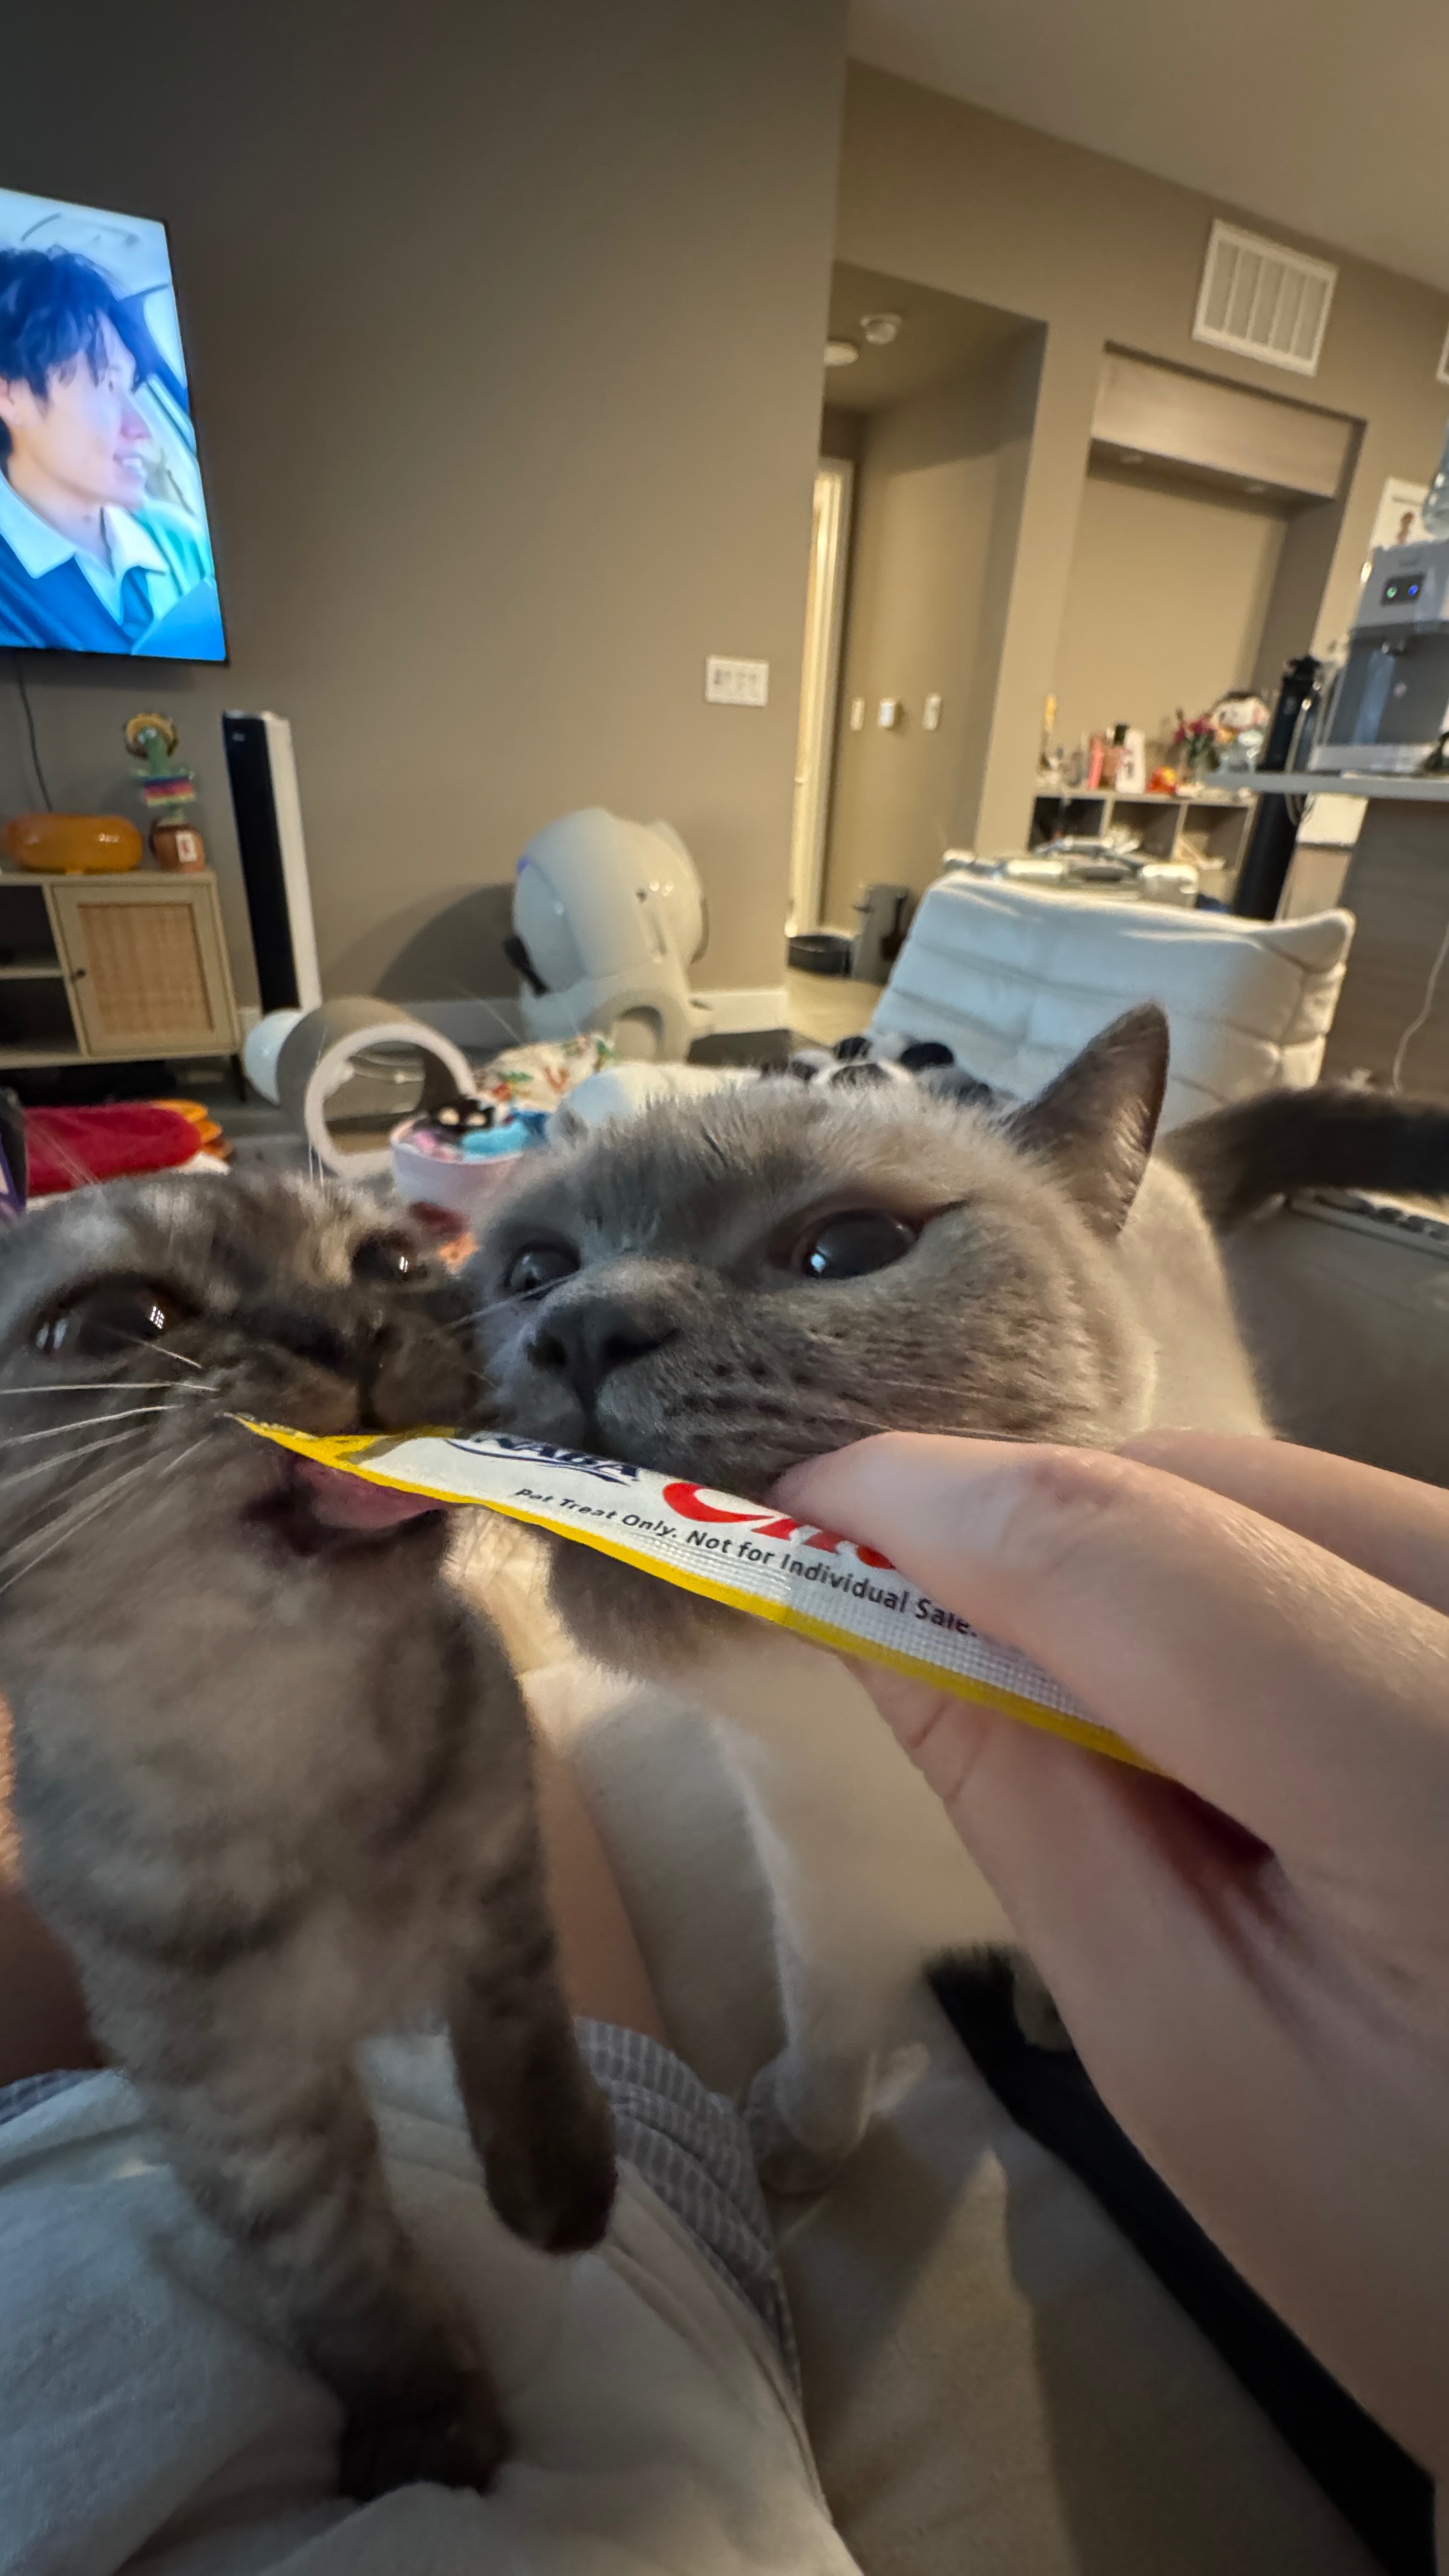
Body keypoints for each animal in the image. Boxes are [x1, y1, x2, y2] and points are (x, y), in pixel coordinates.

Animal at [0, 1166, 615, 2497]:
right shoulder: (242, 2104)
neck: (296, 1746)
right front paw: (423, 2422)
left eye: (389, 1265)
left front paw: (556, 2186)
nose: (347, 1330)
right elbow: (350, 2283)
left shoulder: (500, 1878)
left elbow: (522, 2042)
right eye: (112, 1319)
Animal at [465, 1004, 1449, 2184]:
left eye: (846, 1250)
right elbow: (826, 2060)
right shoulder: (827, 1924)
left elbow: (1029, 1991)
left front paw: (1046, 2018)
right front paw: (786, 2158)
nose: (578, 1327)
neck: (898, 1786)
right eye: (534, 1267)